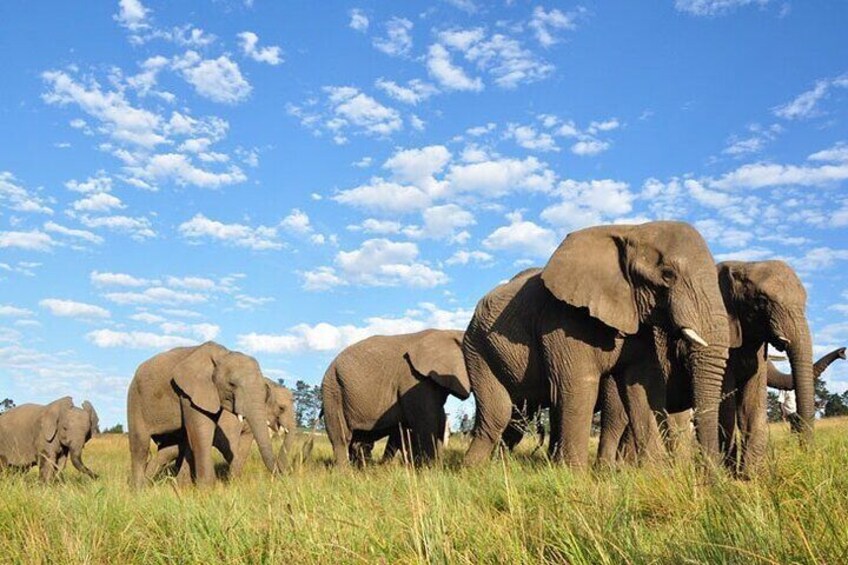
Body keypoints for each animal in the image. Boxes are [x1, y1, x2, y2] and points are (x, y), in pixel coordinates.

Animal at [127, 341, 280, 487]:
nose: (280, 476)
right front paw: (207, 488)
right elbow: (203, 434)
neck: (222, 354)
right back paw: (139, 489)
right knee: (140, 445)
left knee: (172, 447)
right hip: (135, 399)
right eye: (231, 384)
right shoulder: (189, 393)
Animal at [144, 378, 296, 481]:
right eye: (281, 408)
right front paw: (233, 480)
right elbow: (227, 443)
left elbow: (244, 445)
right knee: (169, 451)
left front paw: (235, 479)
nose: (285, 474)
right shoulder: (230, 419)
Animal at [321, 329, 470, 466]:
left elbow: (439, 421)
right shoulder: (413, 380)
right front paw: (430, 470)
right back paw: (346, 472)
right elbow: (427, 422)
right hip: (333, 391)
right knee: (341, 438)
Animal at [463, 221, 731, 469]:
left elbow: (644, 390)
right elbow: (578, 388)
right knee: (498, 413)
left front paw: (655, 474)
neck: (633, 229)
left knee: (515, 415)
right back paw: (473, 472)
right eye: (668, 275)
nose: (710, 476)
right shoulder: (563, 319)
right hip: (476, 347)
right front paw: (574, 476)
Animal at [597, 261, 823, 476]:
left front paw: (752, 477)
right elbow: (726, 407)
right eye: (761, 301)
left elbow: (753, 404)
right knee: (618, 417)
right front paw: (730, 475)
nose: (806, 455)